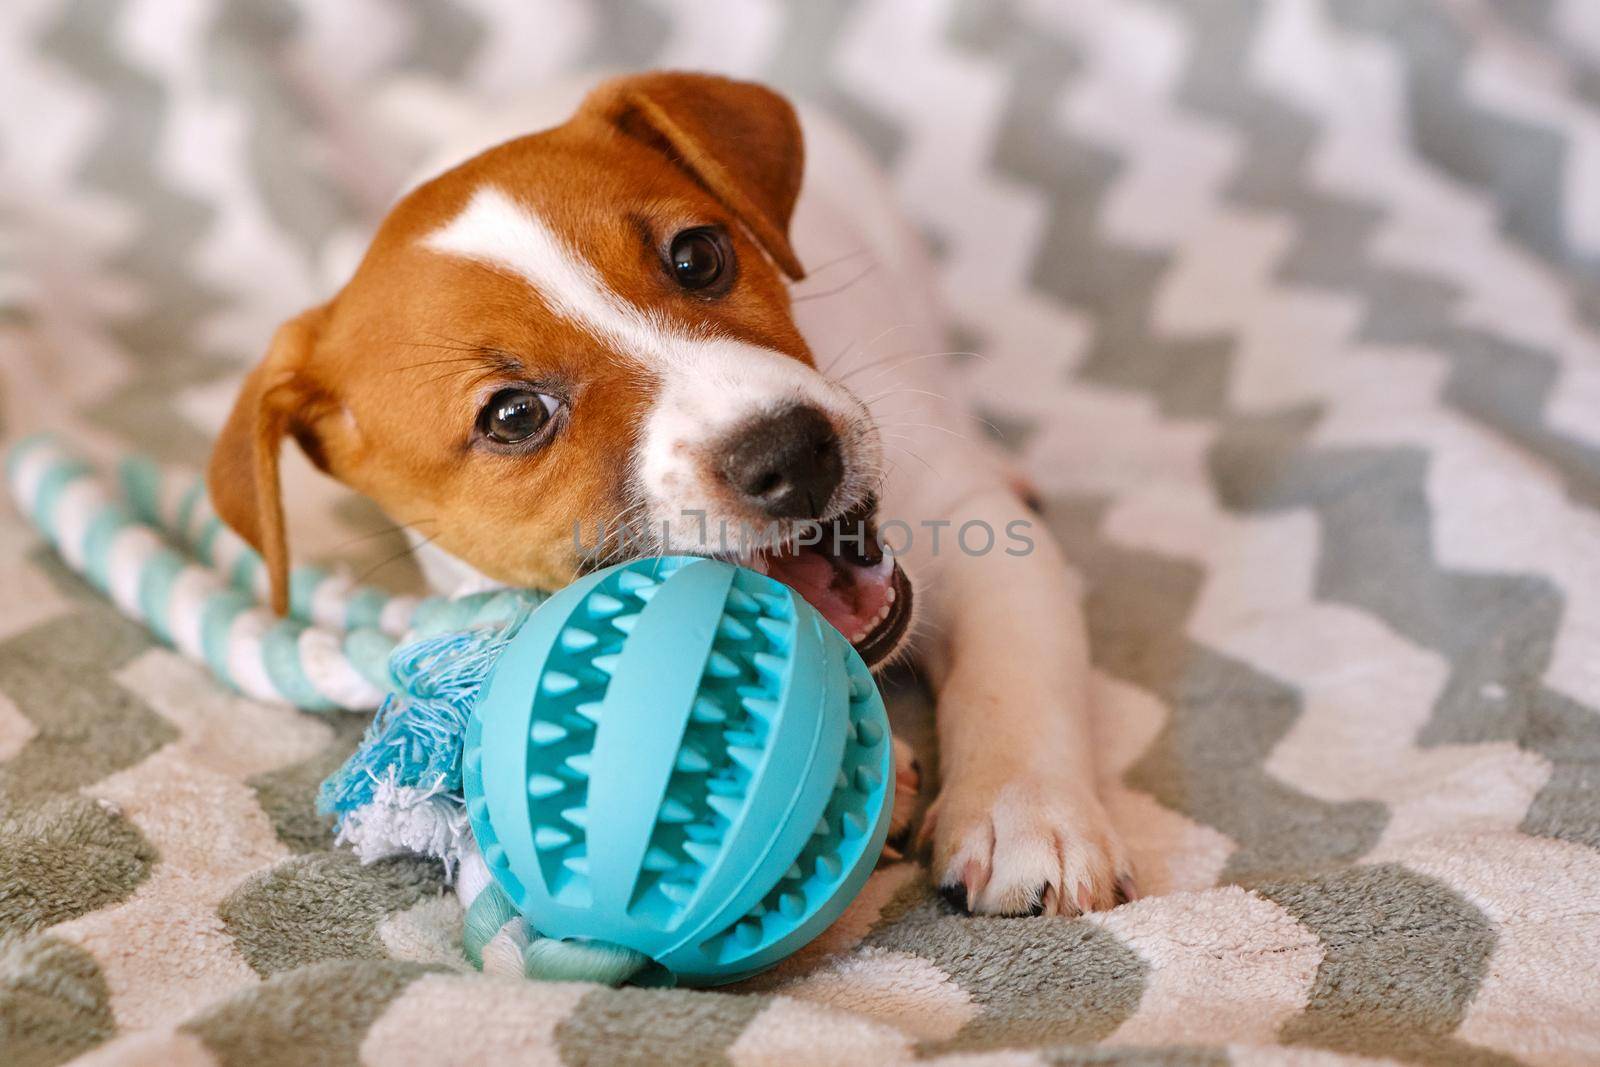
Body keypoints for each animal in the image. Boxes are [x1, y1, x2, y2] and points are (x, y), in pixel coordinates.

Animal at [209, 70, 1139, 915]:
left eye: (698, 255)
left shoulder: (974, 529)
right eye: (513, 415)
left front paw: (1024, 813)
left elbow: (1013, 673)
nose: (793, 452)